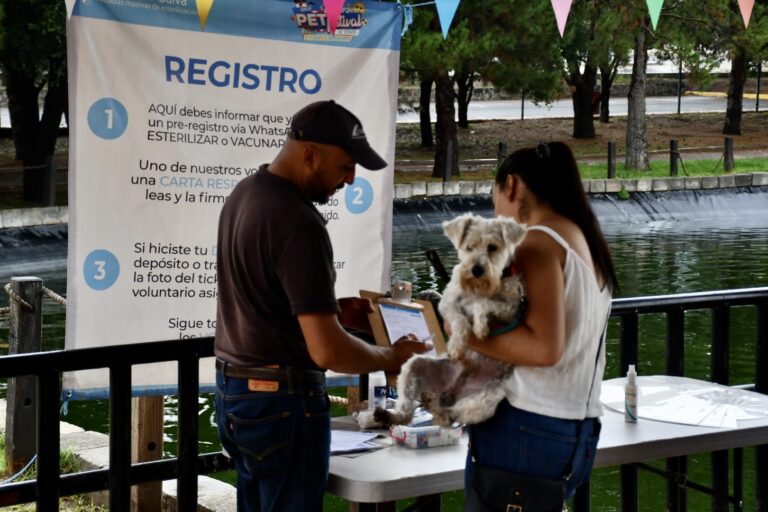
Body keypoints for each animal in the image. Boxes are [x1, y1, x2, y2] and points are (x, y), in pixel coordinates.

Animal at [376, 213, 528, 428]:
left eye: (493, 247)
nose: (476, 270)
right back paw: (390, 413)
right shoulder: (447, 303)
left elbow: (484, 304)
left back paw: (435, 406)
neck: (480, 286)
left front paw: (480, 327)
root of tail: (448, 392)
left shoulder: (513, 310)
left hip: (485, 400)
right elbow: (459, 319)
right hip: (413, 366)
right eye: (469, 246)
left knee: (449, 416)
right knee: (407, 412)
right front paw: (457, 346)